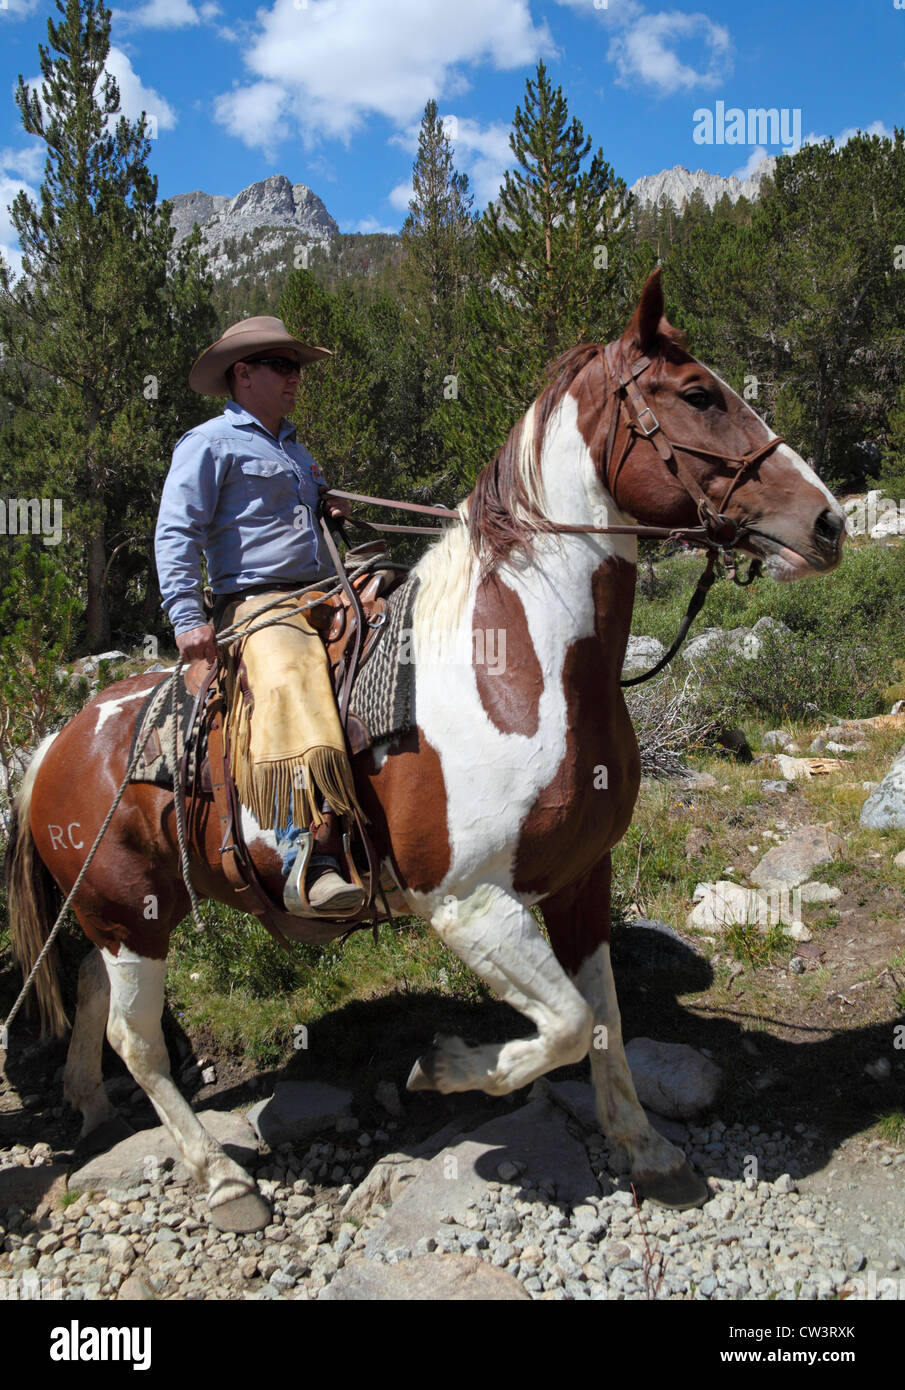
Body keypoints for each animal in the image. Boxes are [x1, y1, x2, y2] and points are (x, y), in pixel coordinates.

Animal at [3, 268, 845, 1228]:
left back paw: (92, 1105)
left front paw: (647, 1151)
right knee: (134, 1038)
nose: (827, 523)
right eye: (700, 393)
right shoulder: (469, 904)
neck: (521, 664)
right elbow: (560, 1027)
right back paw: (221, 1178)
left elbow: (600, 1019)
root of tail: (58, 741)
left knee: (96, 999)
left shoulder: (580, 878)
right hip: (129, 915)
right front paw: (443, 1068)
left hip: (130, 912)